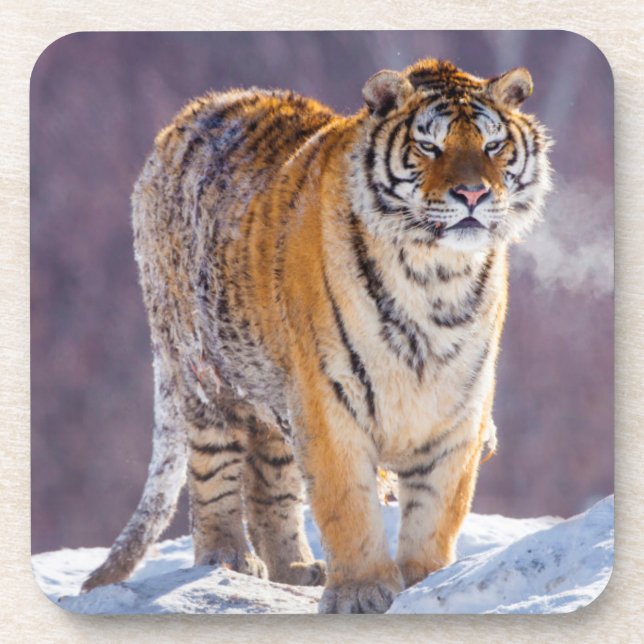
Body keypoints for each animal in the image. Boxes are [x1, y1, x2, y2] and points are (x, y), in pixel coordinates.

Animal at [81, 58, 552, 613]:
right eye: (429, 146)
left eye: (492, 145)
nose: (473, 194)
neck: (435, 277)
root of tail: (185, 118)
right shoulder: (329, 397)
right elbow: (347, 502)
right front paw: (362, 591)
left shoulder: (458, 406)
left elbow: (438, 507)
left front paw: (425, 581)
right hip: (204, 377)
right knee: (214, 473)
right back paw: (228, 559)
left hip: (272, 392)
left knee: (270, 483)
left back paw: (296, 569)